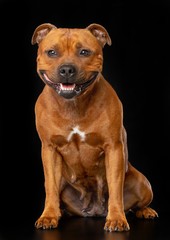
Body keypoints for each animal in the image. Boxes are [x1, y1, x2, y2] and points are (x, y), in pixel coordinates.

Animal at [30, 23, 158, 232]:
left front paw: (116, 218)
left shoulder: (113, 147)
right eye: (52, 52)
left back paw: (145, 211)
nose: (67, 69)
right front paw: (49, 216)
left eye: (84, 52)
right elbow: (49, 186)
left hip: (142, 183)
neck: (73, 105)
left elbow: (115, 188)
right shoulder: (49, 149)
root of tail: (94, 210)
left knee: (138, 204)